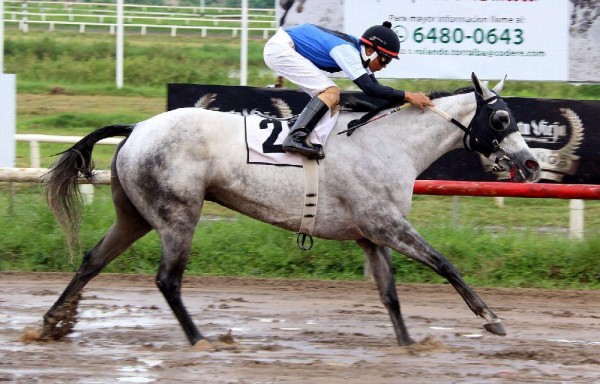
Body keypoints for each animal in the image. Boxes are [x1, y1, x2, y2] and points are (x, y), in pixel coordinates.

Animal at [37, 74, 540, 348]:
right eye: (501, 119)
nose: (532, 163)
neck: (388, 143)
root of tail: (139, 126)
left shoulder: (371, 235)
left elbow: (390, 294)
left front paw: (408, 343)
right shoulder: (387, 224)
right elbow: (444, 263)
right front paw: (490, 318)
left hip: (135, 215)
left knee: (92, 260)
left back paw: (53, 322)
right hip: (178, 215)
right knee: (167, 280)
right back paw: (201, 340)